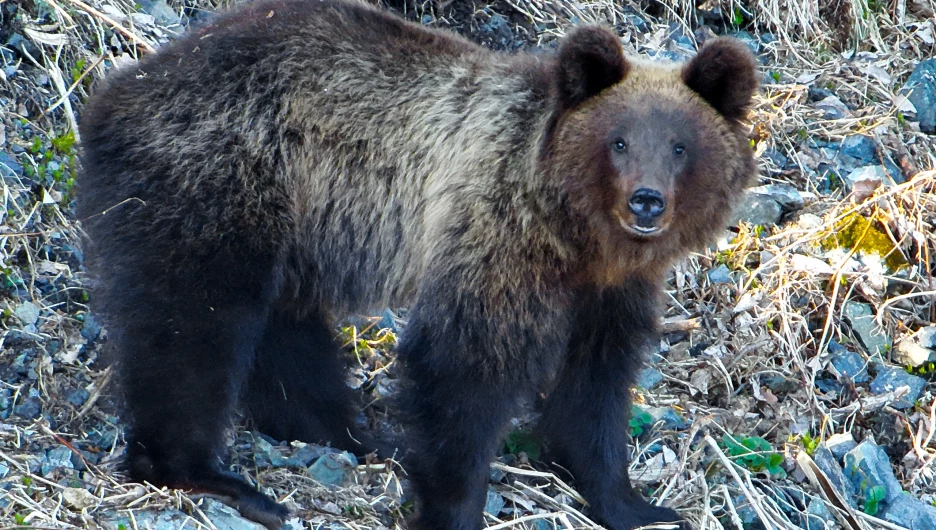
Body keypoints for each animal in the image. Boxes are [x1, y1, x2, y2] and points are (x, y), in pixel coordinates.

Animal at [76, 0, 758, 529]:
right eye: (618, 141)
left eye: (680, 146)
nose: (647, 201)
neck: (576, 235)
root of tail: (115, 91)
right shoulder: (495, 238)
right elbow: (463, 367)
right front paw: (455, 506)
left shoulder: (609, 291)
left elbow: (595, 387)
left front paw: (635, 503)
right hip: (217, 177)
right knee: (192, 328)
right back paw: (210, 475)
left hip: (295, 224)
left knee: (284, 332)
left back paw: (352, 432)